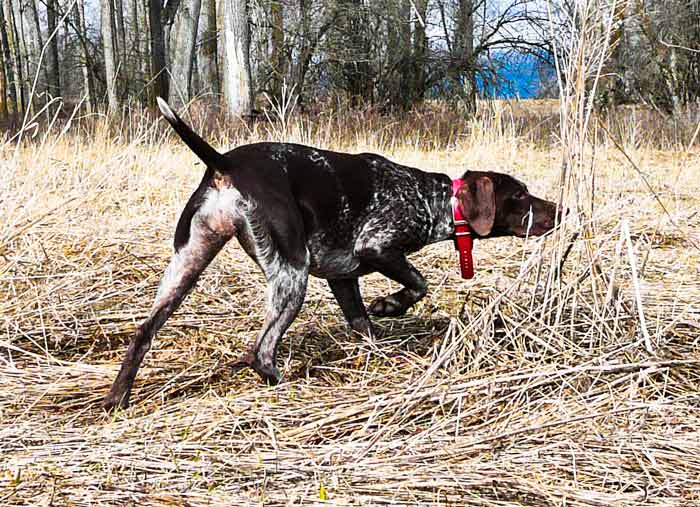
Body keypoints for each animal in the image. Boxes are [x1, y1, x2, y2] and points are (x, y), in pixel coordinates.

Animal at [102, 100, 564, 412]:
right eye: (521, 195)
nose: (562, 210)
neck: (434, 200)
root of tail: (224, 164)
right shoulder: (378, 246)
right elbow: (418, 284)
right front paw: (390, 304)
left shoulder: (344, 278)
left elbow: (363, 324)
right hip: (292, 274)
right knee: (261, 350)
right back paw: (279, 382)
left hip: (186, 264)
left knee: (143, 332)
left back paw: (116, 397)